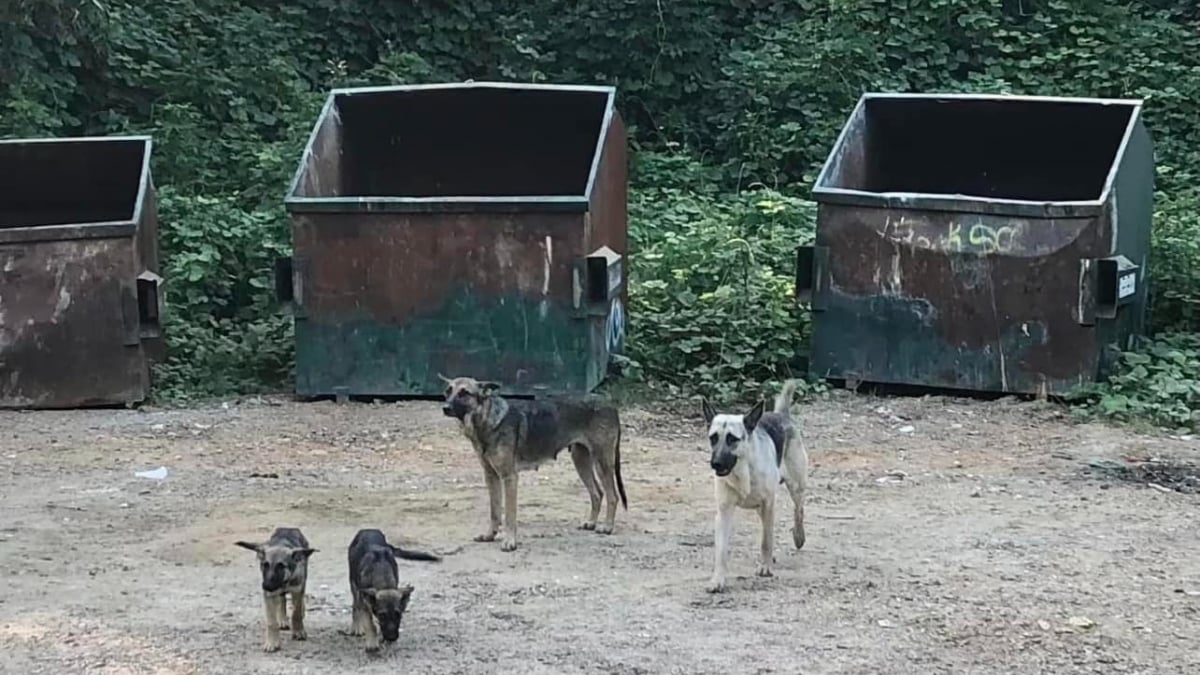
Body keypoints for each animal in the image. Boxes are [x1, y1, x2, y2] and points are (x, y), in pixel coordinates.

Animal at [441, 372, 628, 552]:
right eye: (448, 391)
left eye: (464, 393)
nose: (445, 408)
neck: (488, 420)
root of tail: (610, 404)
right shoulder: (491, 476)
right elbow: (494, 512)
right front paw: (489, 535)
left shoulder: (510, 477)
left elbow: (509, 514)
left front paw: (510, 542)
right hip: (581, 461)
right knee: (597, 493)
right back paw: (591, 523)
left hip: (602, 462)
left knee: (613, 496)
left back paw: (607, 527)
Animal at [700, 374, 806, 590]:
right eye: (713, 438)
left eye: (732, 439)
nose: (715, 464)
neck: (743, 469)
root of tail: (781, 414)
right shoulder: (724, 511)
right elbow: (721, 550)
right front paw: (718, 579)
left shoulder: (768, 504)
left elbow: (766, 540)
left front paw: (765, 567)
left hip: (796, 487)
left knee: (798, 510)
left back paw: (798, 536)